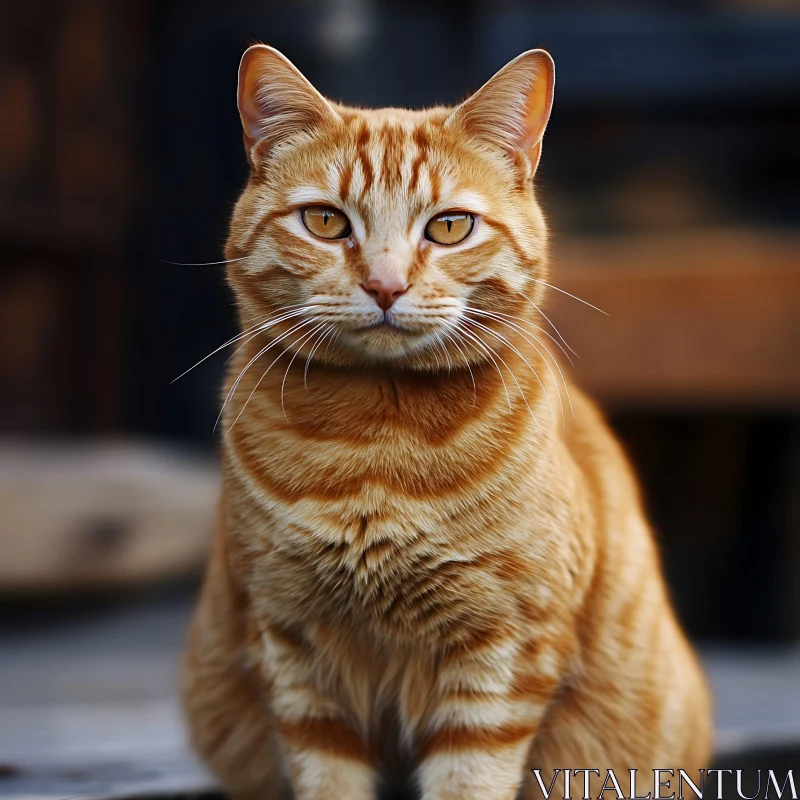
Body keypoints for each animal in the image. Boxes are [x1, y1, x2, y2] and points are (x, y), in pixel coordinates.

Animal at [183, 45, 712, 800]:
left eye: (449, 226)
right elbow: (327, 776)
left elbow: (469, 779)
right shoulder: (294, 646)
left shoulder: (504, 650)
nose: (384, 285)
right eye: (326, 222)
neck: (375, 447)